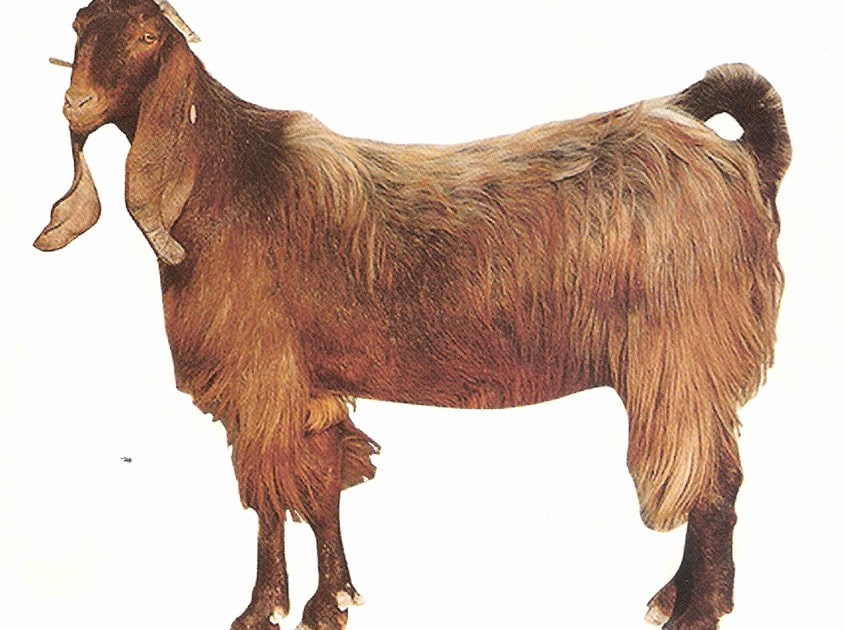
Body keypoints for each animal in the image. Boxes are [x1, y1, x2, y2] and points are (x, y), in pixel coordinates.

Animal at [35, 1, 790, 629]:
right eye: (78, 28)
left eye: (145, 38)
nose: (76, 105)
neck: (229, 179)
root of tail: (738, 158)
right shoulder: (309, 383)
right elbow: (321, 487)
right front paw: (331, 600)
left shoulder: (263, 378)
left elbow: (271, 497)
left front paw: (260, 609)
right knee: (716, 473)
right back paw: (683, 598)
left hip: (682, 355)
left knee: (709, 480)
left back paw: (695, 612)